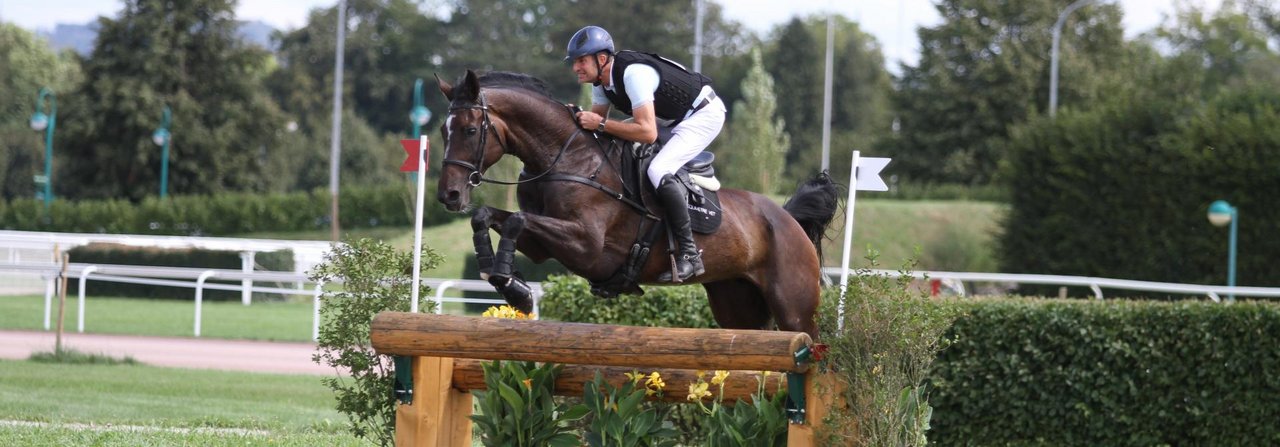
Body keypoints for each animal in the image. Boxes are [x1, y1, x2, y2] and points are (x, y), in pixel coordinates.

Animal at [440, 68, 839, 338]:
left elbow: (515, 220)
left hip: (795, 309)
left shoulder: (586, 245)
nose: (449, 195)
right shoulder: (543, 246)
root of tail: (786, 218)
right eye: (444, 131)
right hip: (736, 304)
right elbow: (487, 216)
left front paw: (514, 289)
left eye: (470, 130)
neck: (567, 158)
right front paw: (504, 279)